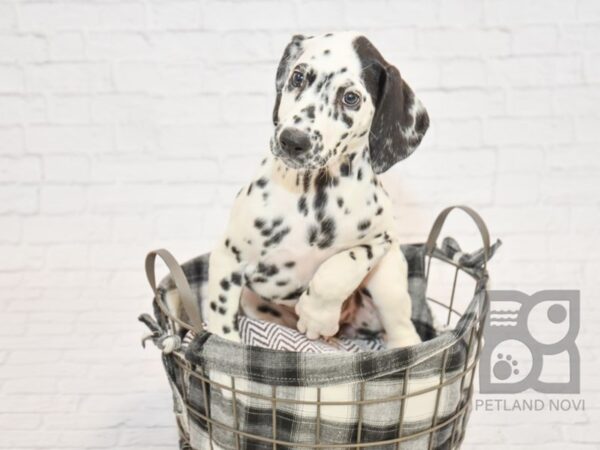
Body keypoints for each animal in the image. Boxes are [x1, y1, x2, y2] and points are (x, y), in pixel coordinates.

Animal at [209, 32, 428, 348]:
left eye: (350, 98)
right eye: (298, 77)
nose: (292, 140)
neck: (313, 197)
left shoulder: (381, 239)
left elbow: (341, 265)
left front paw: (316, 315)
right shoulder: (229, 255)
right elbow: (220, 312)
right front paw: (221, 338)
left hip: (389, 283)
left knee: (402, 328)